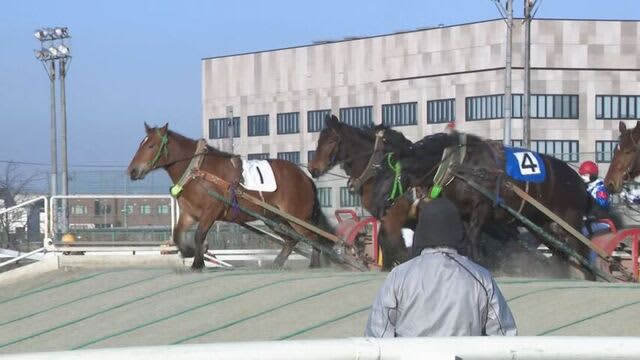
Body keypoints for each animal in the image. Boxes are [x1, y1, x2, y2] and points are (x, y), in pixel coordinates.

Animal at [127, 124, 332, 270]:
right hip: (276, 218)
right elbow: (178, 234)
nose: (132, 171)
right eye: (141, 144)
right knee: (292, 240)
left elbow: (199, 235)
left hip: (297, 217)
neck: (199, 171)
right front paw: (188, 252)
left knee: (313, 237)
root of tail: (305, 177)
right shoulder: (190, 213)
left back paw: (314, 264)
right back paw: (278, 263)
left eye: (151, 145)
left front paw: (198, 262)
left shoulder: (211, 210)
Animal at [310, 116, 416, 270]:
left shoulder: (393, 215)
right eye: (319, 141)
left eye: (331, 141)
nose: (312, 168)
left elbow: (395, 246)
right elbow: (385, 243)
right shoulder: (383, 216)